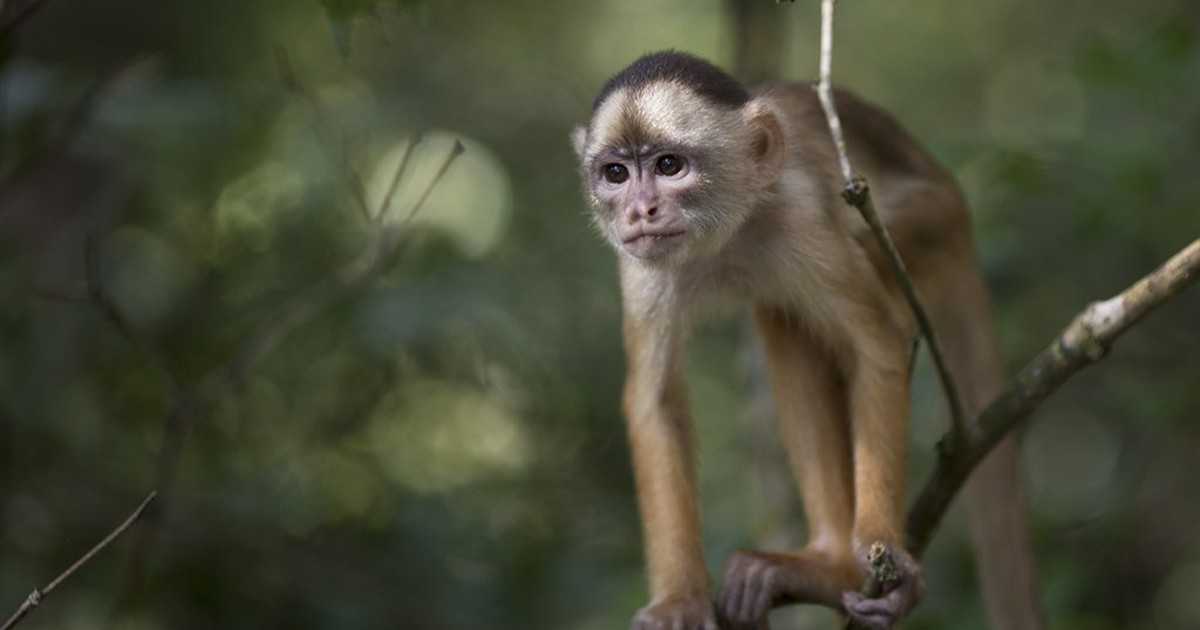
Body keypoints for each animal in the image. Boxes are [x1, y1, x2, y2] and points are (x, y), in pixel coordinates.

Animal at [571, 51, 1044, 630]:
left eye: (668, 166)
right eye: (616, 173)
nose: (640, 210)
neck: (731, 233)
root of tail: (955, 202)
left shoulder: (803, 217)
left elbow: (878, 344)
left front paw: (885, 553)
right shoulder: (638, 261)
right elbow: (655, 402)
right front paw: (680, 600)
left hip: (931, 229)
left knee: (799, 311)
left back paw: (835, 566)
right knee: (781, 316)